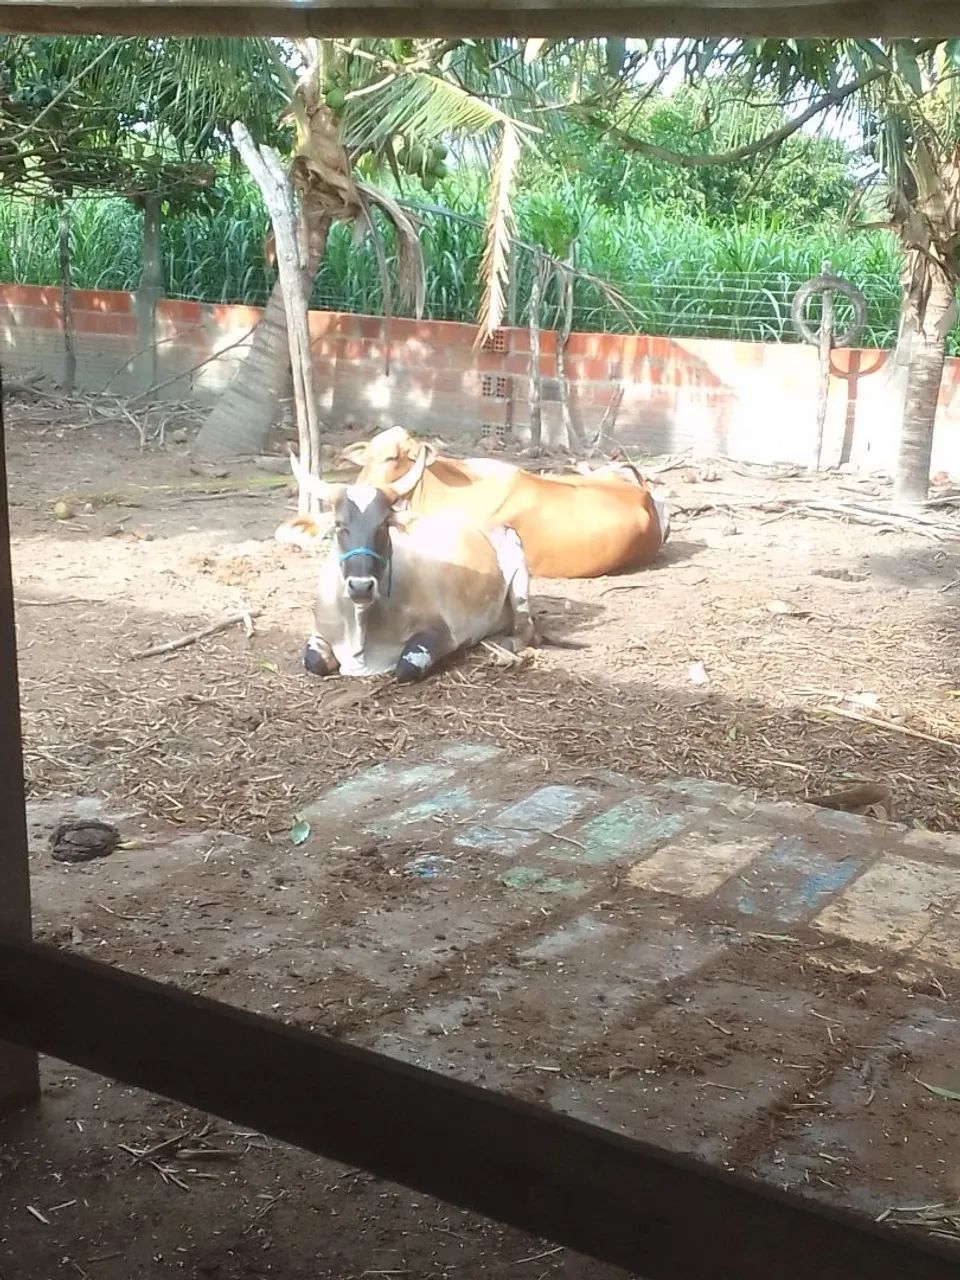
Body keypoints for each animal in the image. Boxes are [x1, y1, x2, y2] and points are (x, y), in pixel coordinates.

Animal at [288, 447, 537, 682]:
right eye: (339, 524)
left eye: (384, 523)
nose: (361, 586)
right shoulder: (319, 633)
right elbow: (313, 660)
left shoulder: (442, 634)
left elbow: (407, 666)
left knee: (526, 629)